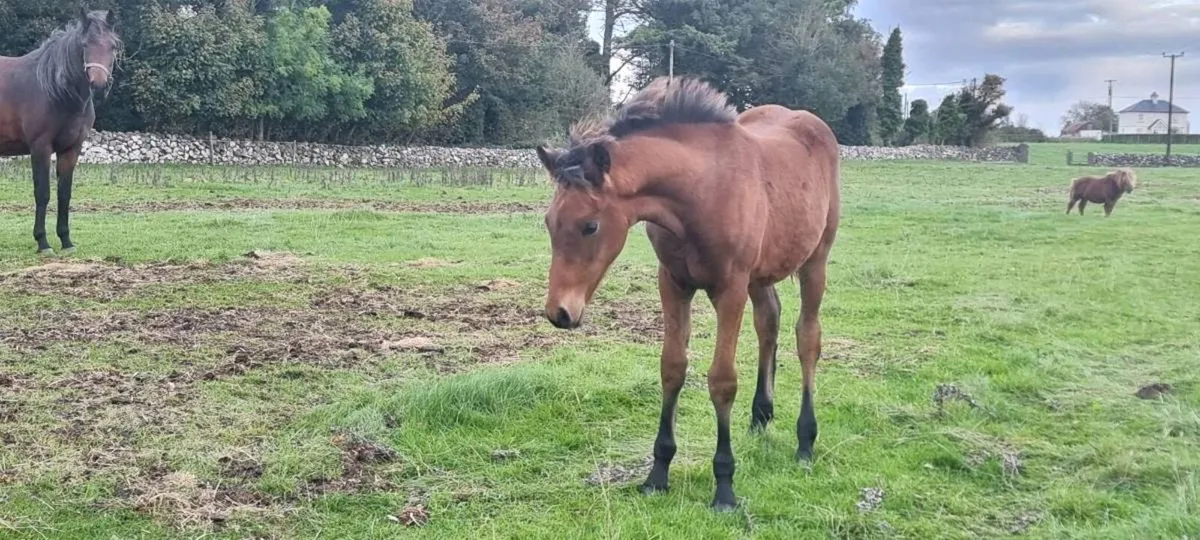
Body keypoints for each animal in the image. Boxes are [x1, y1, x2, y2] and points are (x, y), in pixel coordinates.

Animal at [0, 10, 120, 255]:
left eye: (112, 46)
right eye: (85, 45)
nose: (99, 86)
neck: (55, 89)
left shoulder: (71, 149)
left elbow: (64, 194)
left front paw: (66, 241)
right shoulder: (40, 148)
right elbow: (43, 193)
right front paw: (43, 243)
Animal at [535, 76, 841, 511]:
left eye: (590, 225)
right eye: (548, 221)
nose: (559, 312)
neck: (702, 192)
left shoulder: (730, 289)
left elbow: (722, 380)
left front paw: (725, 486)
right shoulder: (673, 283)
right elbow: (673, 367)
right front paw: (657, 473)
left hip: (815, 260)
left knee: (808, 337)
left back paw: (805, 442)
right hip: (761, 274)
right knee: (769, 321)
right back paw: (760, 416)